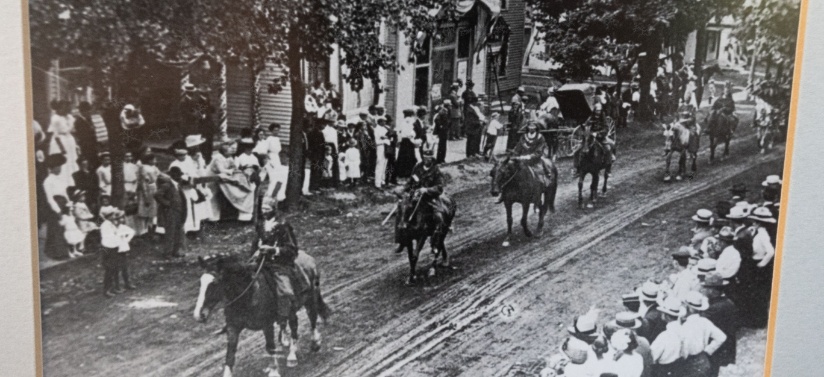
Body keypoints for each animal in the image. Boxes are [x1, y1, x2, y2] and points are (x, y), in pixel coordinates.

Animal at [194, 222, 332, 374]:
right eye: (201, 282)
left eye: (214, 283)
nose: (198, 314)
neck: (249, 295)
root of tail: (308, 256)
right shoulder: (233, 327)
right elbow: (230, 355)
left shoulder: (267, 325)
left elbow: (270, 348)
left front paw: (274, 371)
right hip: (292, 307)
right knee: (292, 322)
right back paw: (288, 346)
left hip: (310, 298)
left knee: (311, 318)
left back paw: (310, 346)